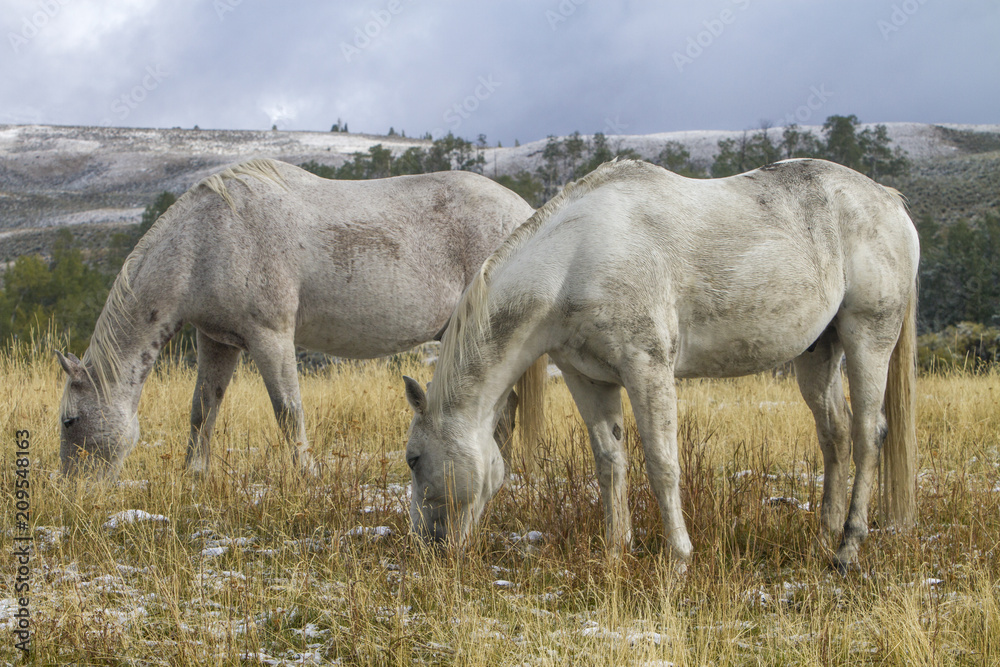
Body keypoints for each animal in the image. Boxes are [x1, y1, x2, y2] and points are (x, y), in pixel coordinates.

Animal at [57, 158, 545, 480]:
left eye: (69, 421)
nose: (71, 490)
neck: (207, 240)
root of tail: (524, 212)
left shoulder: (270, 337)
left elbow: (288, 411)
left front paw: (305, 474)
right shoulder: (218, 341)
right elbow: (202, 410)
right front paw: (193, 475)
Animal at [402, 157, 919, 569]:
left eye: (412, 459)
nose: (427, 546)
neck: (573, 261)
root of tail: (890, 200)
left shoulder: (647, 370)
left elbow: (662, 464)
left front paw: (678, 558)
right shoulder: (587, 379)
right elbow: (610, 463)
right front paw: (616, 552)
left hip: (868, 336)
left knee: (867, 433)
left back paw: (847, 549)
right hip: (819, 353)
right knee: (835, 436)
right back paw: (823, 538)